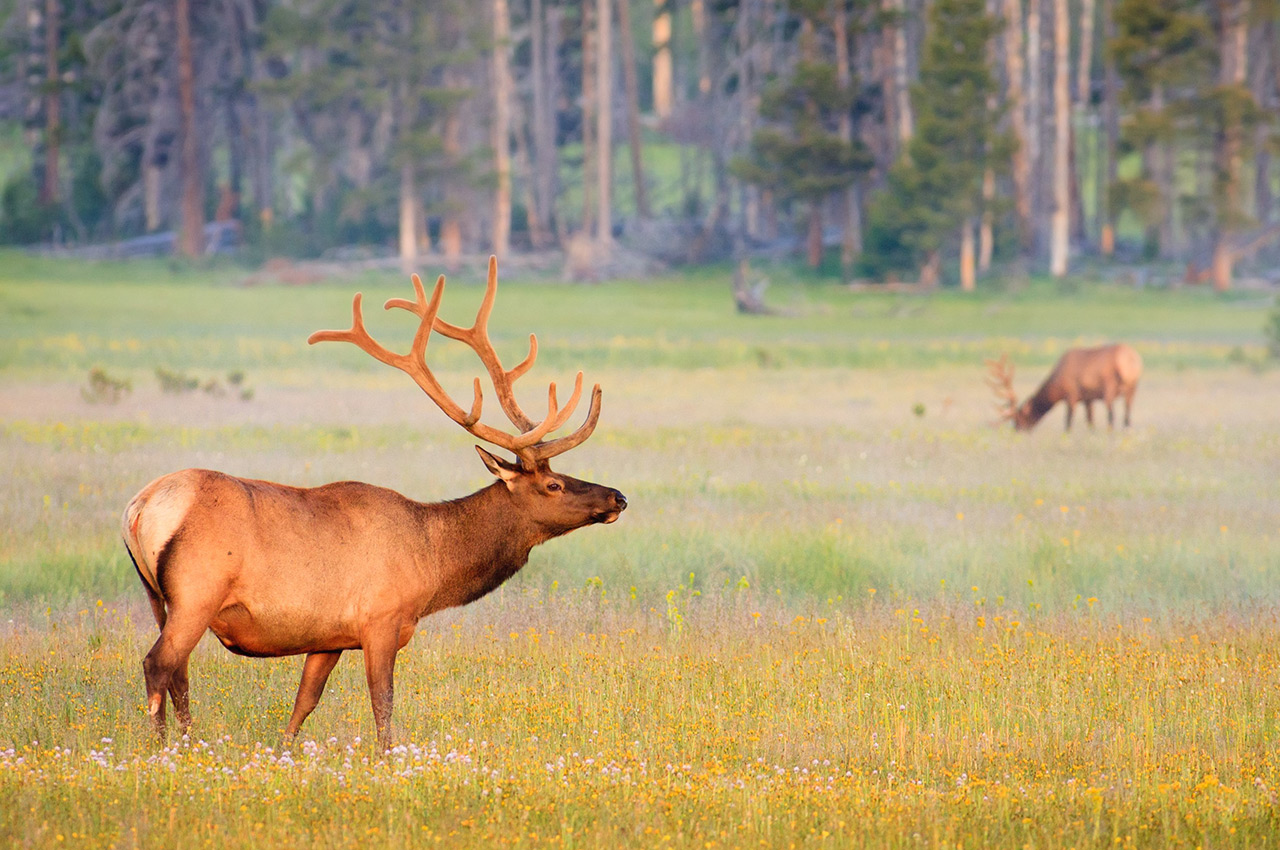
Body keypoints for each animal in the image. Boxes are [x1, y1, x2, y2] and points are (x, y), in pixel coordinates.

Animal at [117, 257, 627, 742]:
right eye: (553, 485)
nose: (618, 496)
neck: (433, 563)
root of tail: (138, 509)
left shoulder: (329, 637)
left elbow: (303, 705)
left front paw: (284, 752)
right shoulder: (381, 619)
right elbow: (383, 705)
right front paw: (386, 759)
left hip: (158, 597)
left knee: (179, 673)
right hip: (197, 592)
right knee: (158, 665)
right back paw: (166, 749)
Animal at [983, 343, 1146, 432]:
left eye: (1020, 418)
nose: (1017, 431)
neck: (1057, 388)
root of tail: (1132, 360)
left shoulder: (1071, 394)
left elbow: (1067, 422)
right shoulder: (1088, 399)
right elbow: (1090, 422)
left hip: (1109, 386)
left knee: (1112, 415)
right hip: (1133, 387)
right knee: (1127, 416)